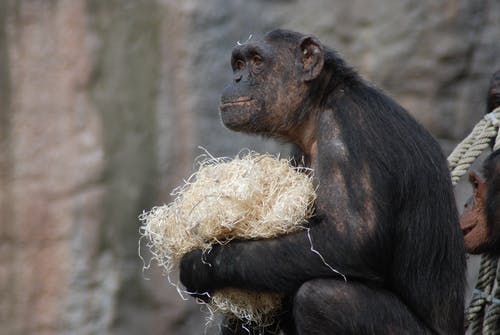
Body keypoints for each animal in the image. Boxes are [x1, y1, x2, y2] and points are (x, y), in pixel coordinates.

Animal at [179, 29, 464, 335]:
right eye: (239, 64)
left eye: (256, 61)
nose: (236, 79)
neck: (316, 110)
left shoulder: (348, 131)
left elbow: (352, 238)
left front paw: (200, 266)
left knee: (322, 298)